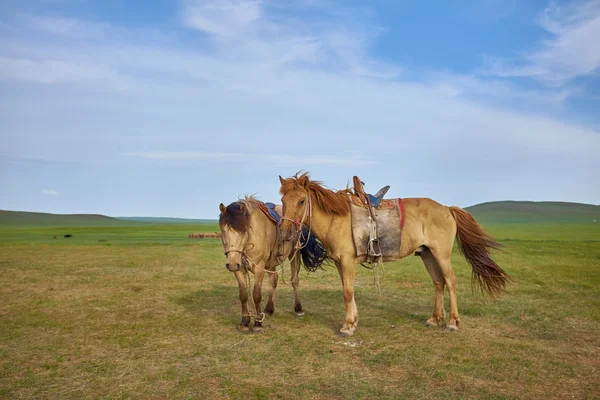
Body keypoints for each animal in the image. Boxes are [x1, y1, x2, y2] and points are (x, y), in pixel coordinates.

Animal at [218, 196, 328, 332]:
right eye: (223, 231)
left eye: (244, 231)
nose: (232, 264)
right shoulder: (239, 269)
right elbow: (243, 295)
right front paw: (244, 322)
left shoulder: (259, 268)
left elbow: (256, 295)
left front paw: (258, 323)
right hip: (271, 263)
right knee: (274, 280)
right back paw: (269, 309)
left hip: (294, 254)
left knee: (294, 280)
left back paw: (298, 309)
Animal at [278, 173, 508, 336]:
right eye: (283, 200)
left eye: (301, 201)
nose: (286, 231)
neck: (337, 218)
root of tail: (447, 209)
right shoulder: (339, 263)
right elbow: (347, 290)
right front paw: (354, 321)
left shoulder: (347, 262)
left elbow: (347, 292)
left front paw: (348, 326)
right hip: (427, 255)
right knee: (438, 283)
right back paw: (435, 319)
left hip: (441, 254)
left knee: (450, 282)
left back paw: (452, 322)